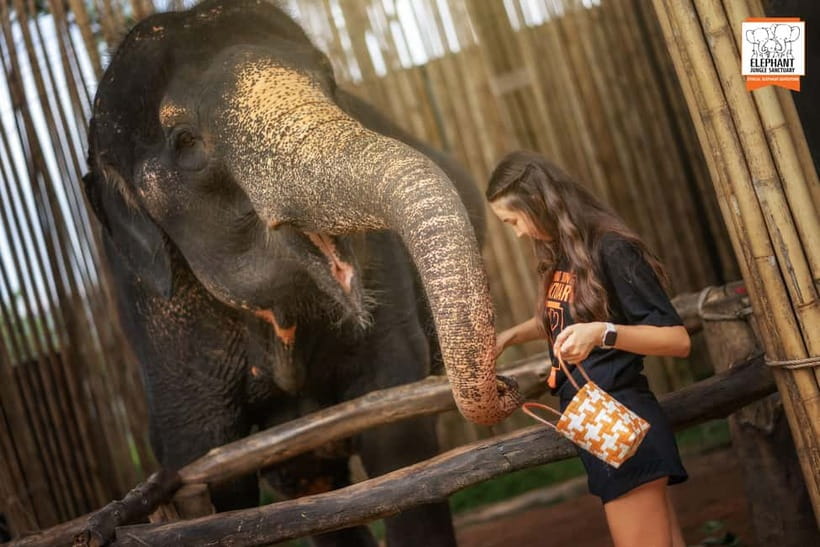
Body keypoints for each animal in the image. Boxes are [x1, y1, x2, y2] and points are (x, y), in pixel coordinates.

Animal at [82, 0, 521, 545]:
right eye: (184, 142)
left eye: (330, 80)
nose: (506, 384)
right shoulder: (160, 322)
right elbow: (206, 468)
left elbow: (396, 427)